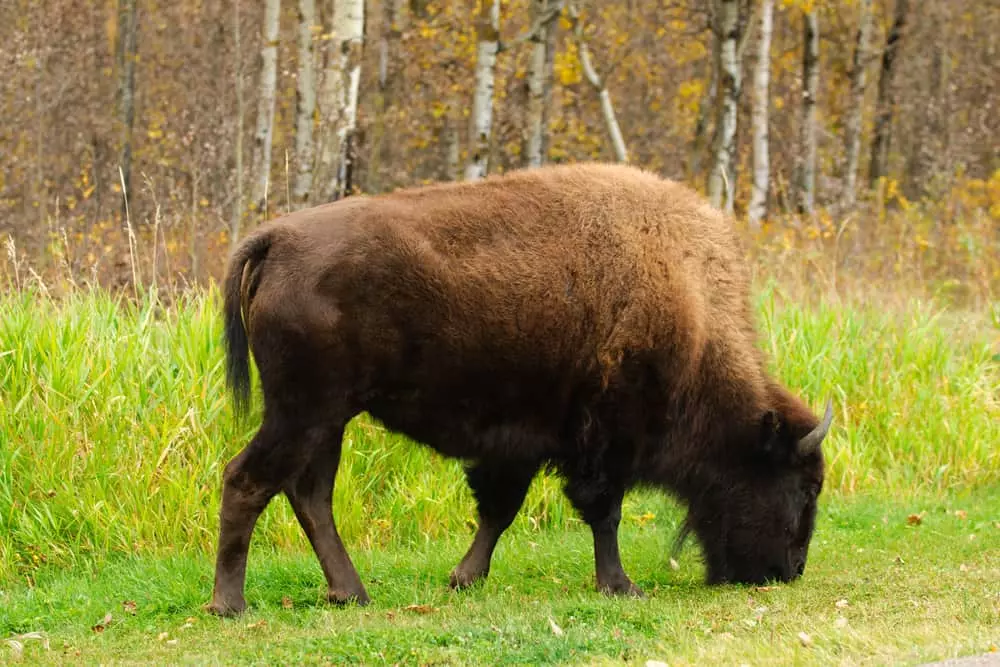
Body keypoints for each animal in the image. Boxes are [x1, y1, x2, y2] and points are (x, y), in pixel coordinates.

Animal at [206, 162, 832, 616]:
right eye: (803, 487)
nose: (790, 570)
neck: (689, 305)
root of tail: (276, 238)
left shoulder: (523, 442)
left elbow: (500, 510)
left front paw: (464, 578)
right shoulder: (606, 440)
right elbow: (603, 513)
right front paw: (621, 586)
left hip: (326, 419)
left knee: (310, 494)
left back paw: (350, 593)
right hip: (302, 412)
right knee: (248, 480)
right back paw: (229, 605)